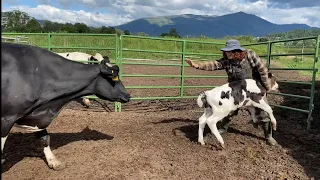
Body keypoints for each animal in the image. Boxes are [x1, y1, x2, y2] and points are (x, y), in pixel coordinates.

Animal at [1, 42, 131, 170]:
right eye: (114, 77)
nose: (128, 95)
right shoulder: (7, 117)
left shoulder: (36, 114)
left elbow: (45, 138)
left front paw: (53, 161)